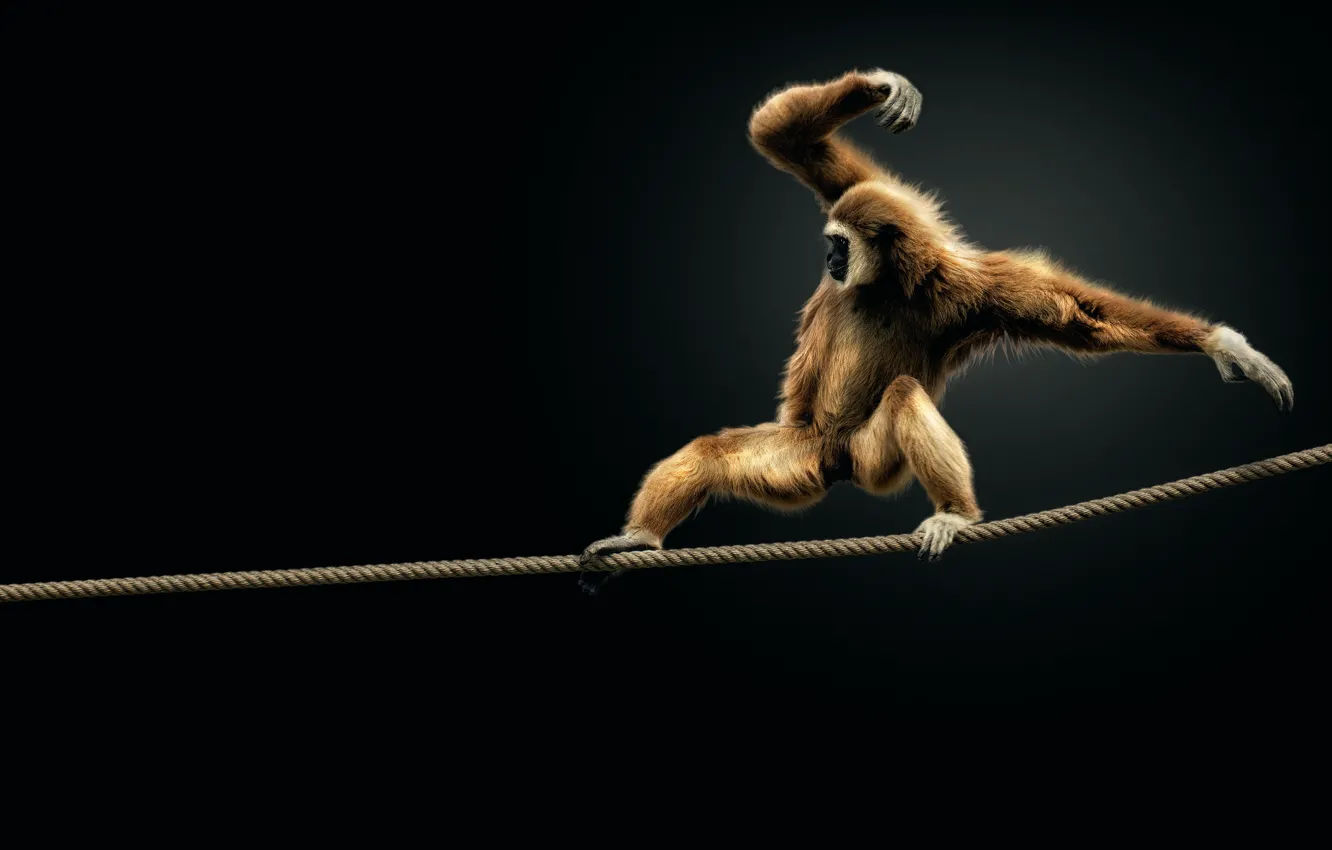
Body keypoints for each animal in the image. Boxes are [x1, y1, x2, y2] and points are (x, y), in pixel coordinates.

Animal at [577, 67, 1293, 594]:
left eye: (838, 246)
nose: (829, 262)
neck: (889, 283)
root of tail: (833, 461)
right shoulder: (865, 200)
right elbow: (789, 140)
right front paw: (877, 87)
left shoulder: (971, 289)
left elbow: (1074, 314)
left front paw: (1224, 345)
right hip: (797, 458)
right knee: (713, 453)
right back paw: (641, 538)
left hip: (871, 461)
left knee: (900, 396)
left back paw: (955, 512)